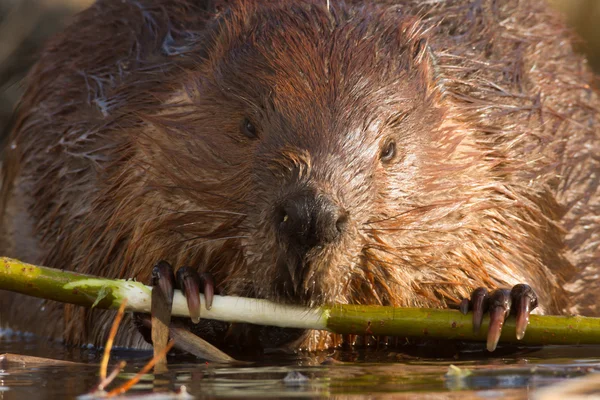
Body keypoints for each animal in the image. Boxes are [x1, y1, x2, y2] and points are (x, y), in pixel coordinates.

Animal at [0, 0, 596, 350]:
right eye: (247, 125)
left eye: (389, 148)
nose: (311, 214)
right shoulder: (96, 150)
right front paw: (179, 285)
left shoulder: (517, 161)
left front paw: (502, 303)